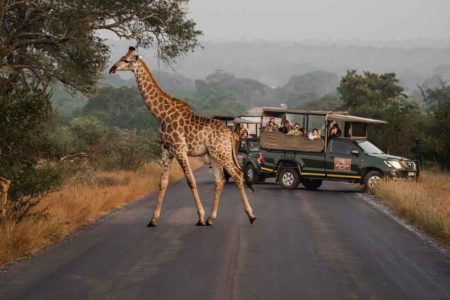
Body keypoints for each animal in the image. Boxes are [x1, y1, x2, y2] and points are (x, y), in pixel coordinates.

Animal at [110, 47, 256, 226]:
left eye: (126, 60)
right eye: (122, 57)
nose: (112, 68)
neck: (160, 115)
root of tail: (229, 134)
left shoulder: (180, 149)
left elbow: (191, 181)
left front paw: (200, 217)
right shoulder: (166, 150)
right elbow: (162, 182)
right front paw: (153, 219)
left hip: (222, 153)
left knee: (237, 175)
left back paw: (250, 215)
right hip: (213, 155)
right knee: (219, 180)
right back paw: (211, 218)